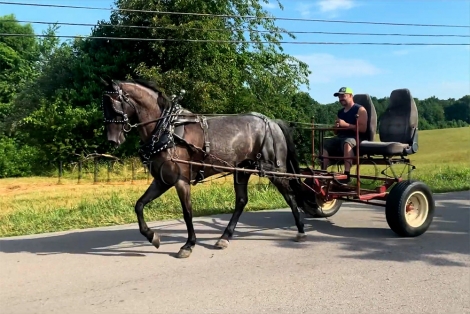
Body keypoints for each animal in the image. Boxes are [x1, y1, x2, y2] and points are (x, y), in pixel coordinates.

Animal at [100, 76, 308, 258]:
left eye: (113, 103)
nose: (112, 139)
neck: (167, 130)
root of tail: (273, 122)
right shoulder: (162, 180)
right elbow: (139, 205)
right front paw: (153, 237)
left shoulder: (181, 181)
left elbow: (187, 213)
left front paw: (188, 245)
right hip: (242, 171)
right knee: (241, 200)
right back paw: (224, 237)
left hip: (274, 170)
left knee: (289, 196)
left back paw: (300, 230)